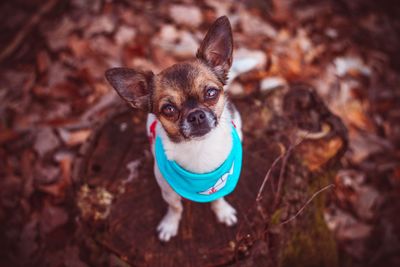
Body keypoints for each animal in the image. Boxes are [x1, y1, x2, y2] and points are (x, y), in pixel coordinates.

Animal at [106, 16, 242, 243]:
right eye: (168, 109)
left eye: (211, 93)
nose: (196, 115)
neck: (199, 149)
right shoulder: (167, 190)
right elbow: (175, 206)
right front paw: (170, 224)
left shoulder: (222, 183)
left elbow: (218, 197)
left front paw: (222, 211)